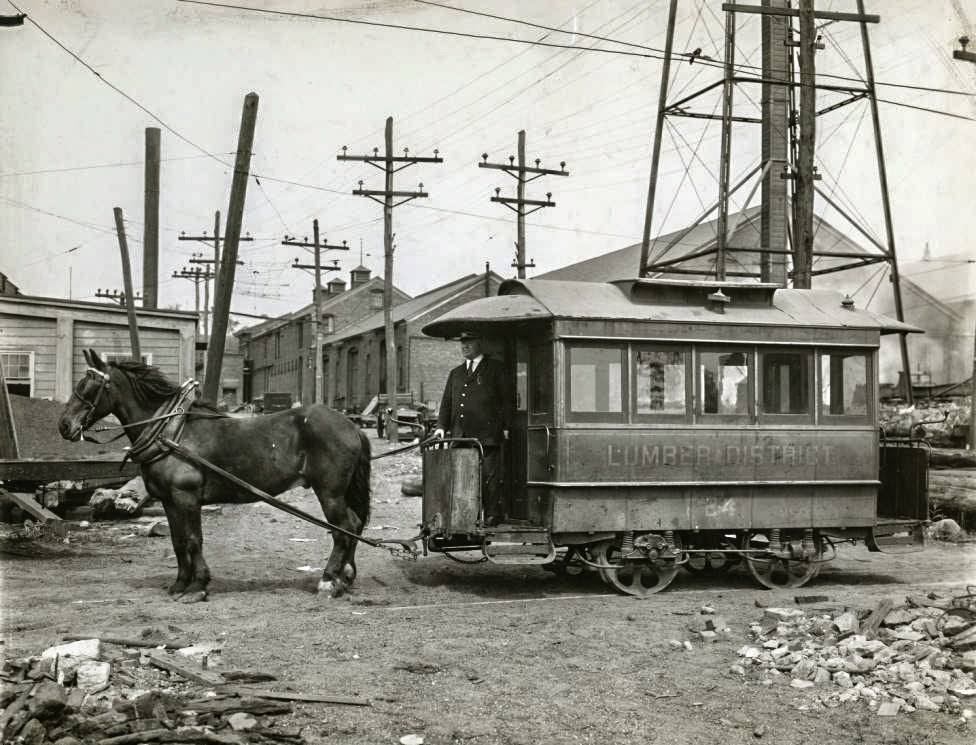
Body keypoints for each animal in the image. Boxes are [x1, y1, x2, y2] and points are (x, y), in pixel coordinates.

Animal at [58, 352, 370, 600]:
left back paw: (328, 580)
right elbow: (178, 541)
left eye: (91, 386)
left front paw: (198, 587)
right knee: (353, 525)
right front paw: (180, 584)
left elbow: (193, 539)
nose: (64, 425)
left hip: (329, 492)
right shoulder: (169, 501)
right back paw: (344, 577)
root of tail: (351, 425)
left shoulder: (186, 497)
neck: (172, 432)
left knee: (343, 529)